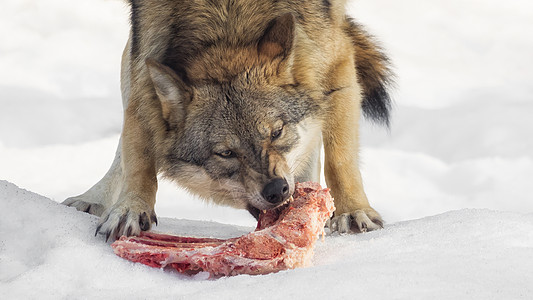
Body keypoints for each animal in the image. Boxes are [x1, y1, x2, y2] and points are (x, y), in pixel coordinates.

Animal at [64, 0, 392, 240]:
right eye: (226, 153)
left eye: (276, 132)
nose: (277, 190)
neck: (227, 24)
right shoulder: (144, 62)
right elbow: (138, 152)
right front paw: (130, 209)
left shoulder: (335, 59)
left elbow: (340, 159)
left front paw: (353, 212)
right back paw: (93, 197)